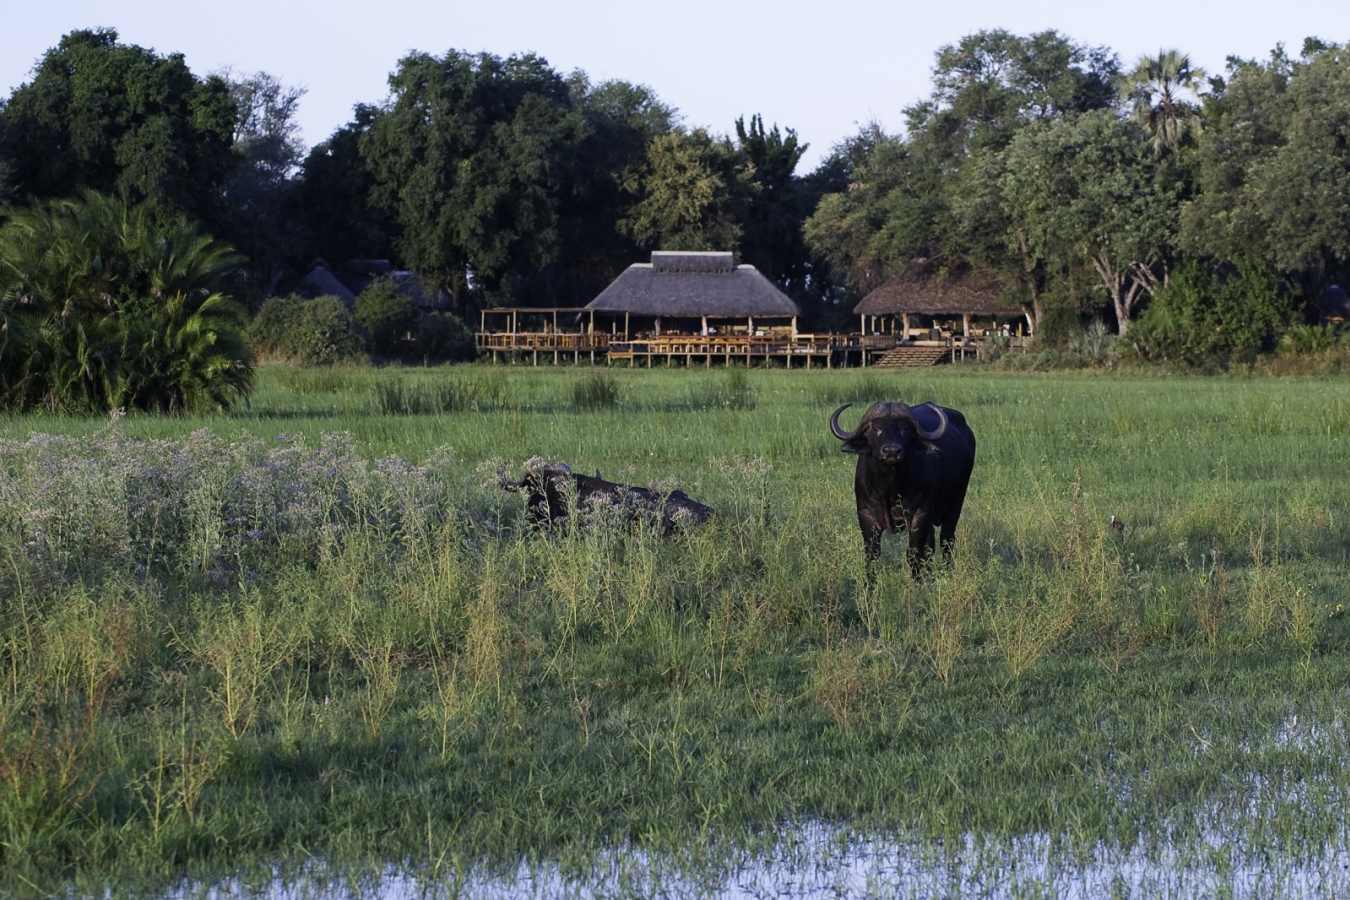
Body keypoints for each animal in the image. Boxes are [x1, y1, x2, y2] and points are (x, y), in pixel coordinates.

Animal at [829, 401, 976, 575]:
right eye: (875, 428)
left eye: (904, 429)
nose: (891, 451)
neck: (890, 489)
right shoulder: (866, 514)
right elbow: (872, 556)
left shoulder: (920, 514)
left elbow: (913, 555)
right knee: (931, 547)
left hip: (955, 505)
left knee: (946, 540)